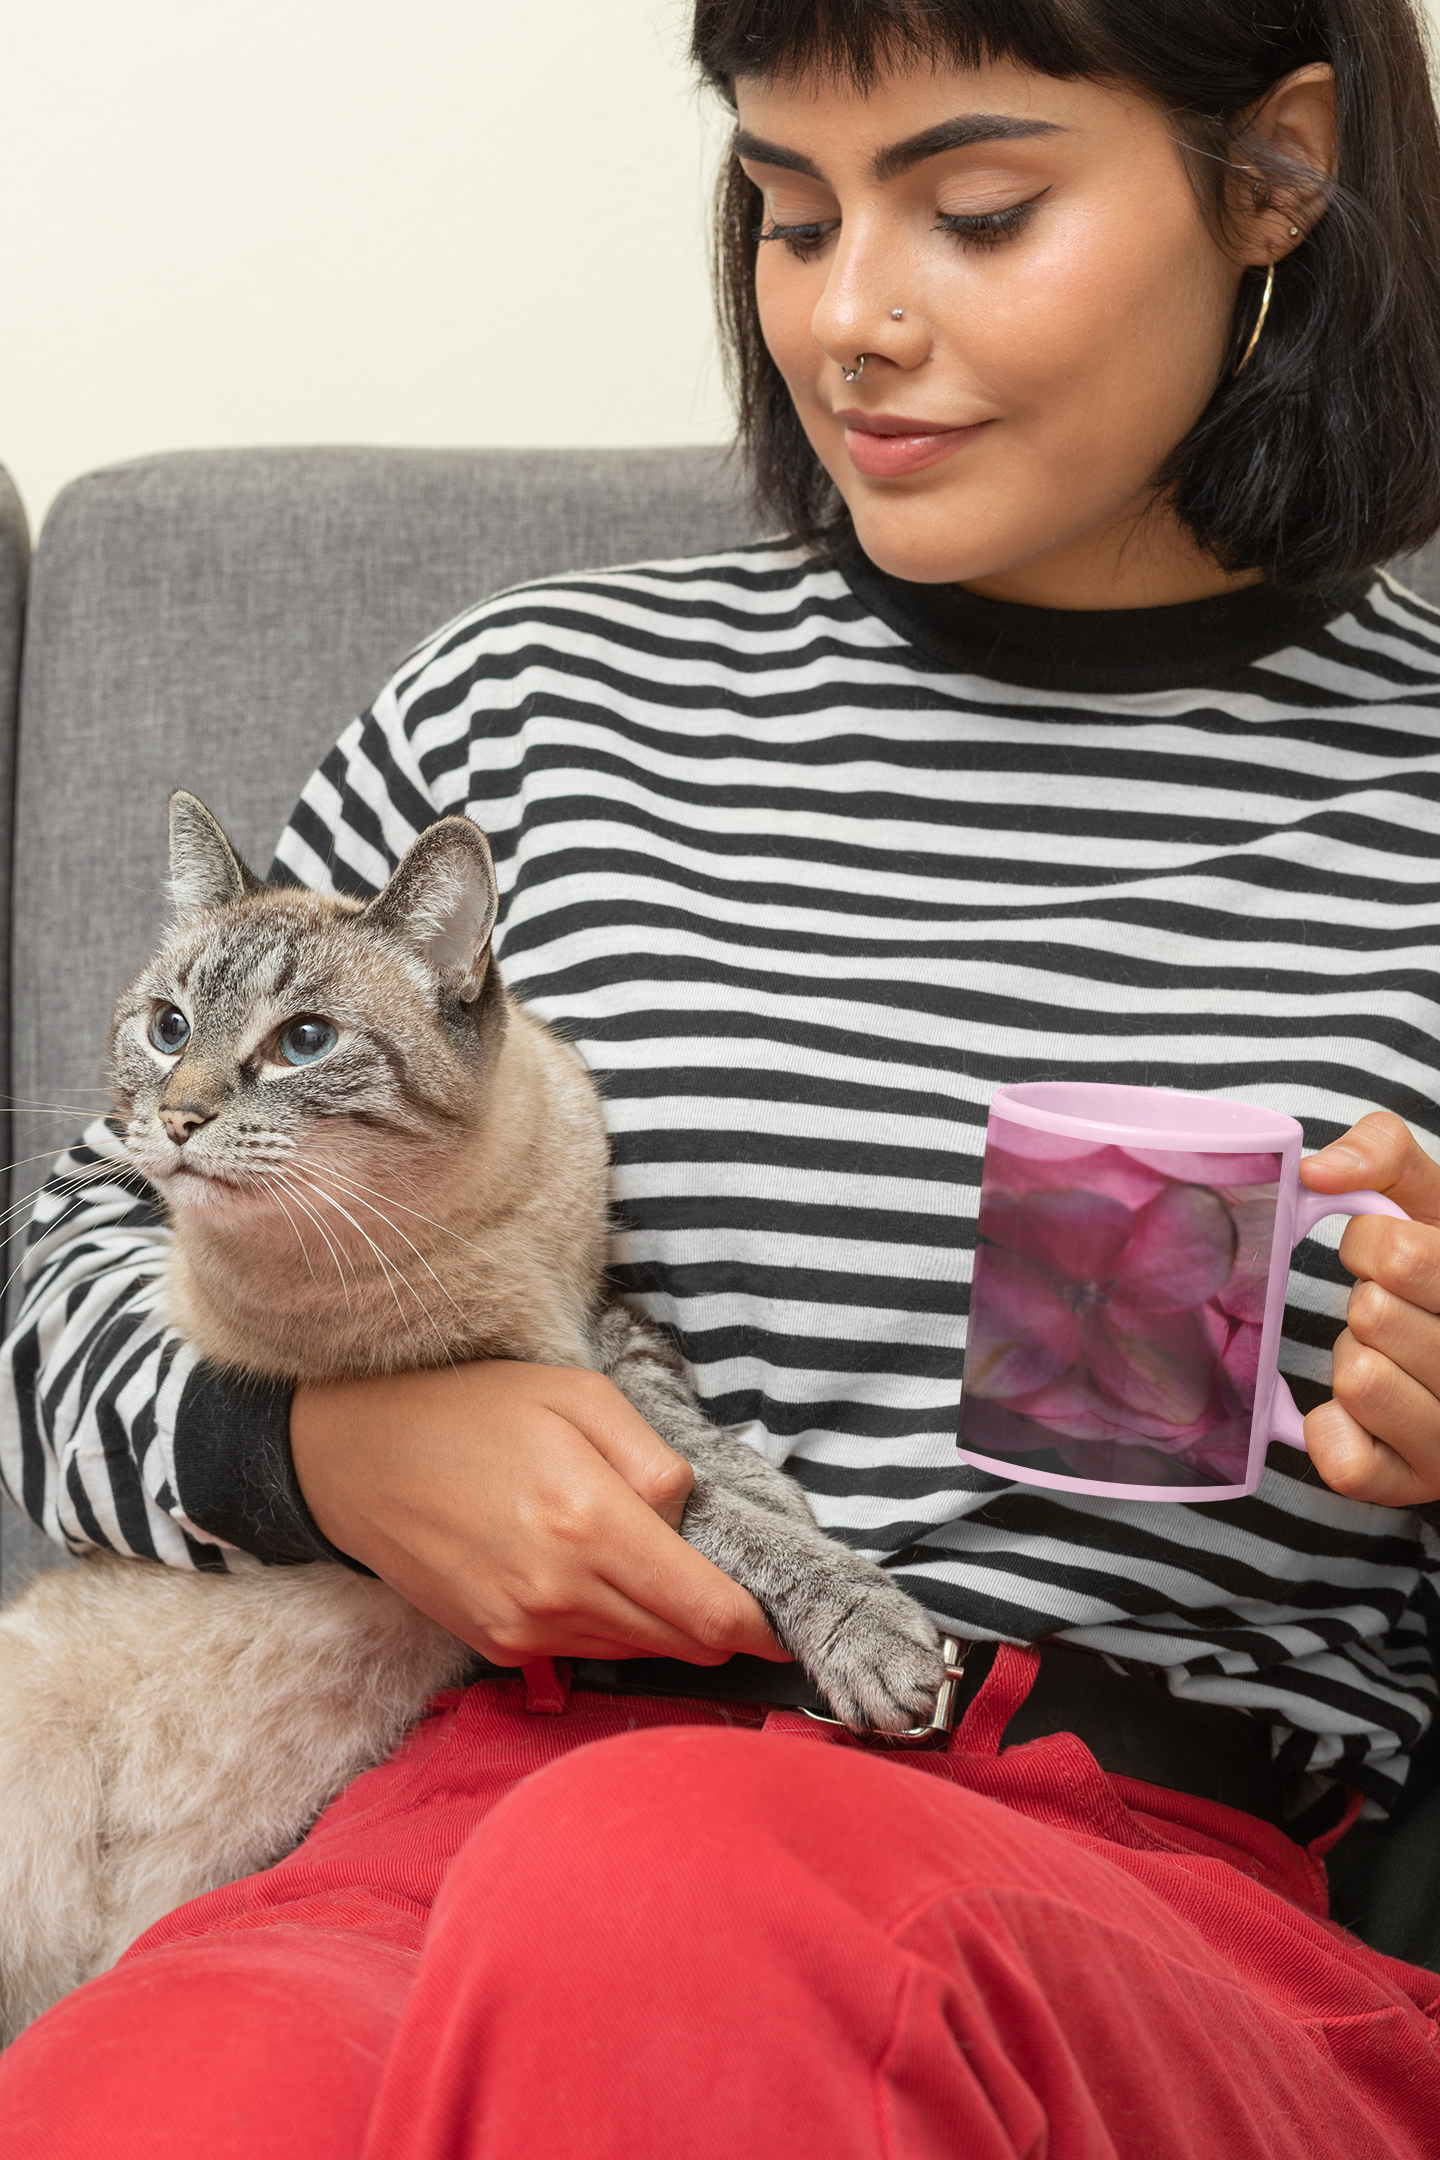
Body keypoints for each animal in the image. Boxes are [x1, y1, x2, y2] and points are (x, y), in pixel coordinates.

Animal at [0, 794, 945, 2039]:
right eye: (166, 1027)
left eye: (303, 1042)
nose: (178, 1117)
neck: (484, 1203)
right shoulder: (516, 1398)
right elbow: (708, 1513)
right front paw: (866, 1629)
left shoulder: (593, 1315)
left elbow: (672, 1415)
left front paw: (765, 1480)